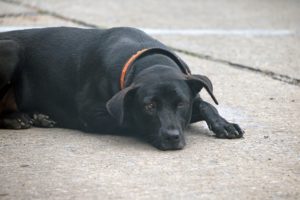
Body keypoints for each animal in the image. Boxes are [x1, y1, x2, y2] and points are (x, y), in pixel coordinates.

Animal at [0, 27, 244, 150]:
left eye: (181, 103)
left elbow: (206, 105)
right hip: (11, 49)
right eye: (149, 106)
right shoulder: (93, 114)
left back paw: (36, 116)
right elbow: (130, 120)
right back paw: (17, 118)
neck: (147, 59)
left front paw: (224, 124)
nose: (173, 137)